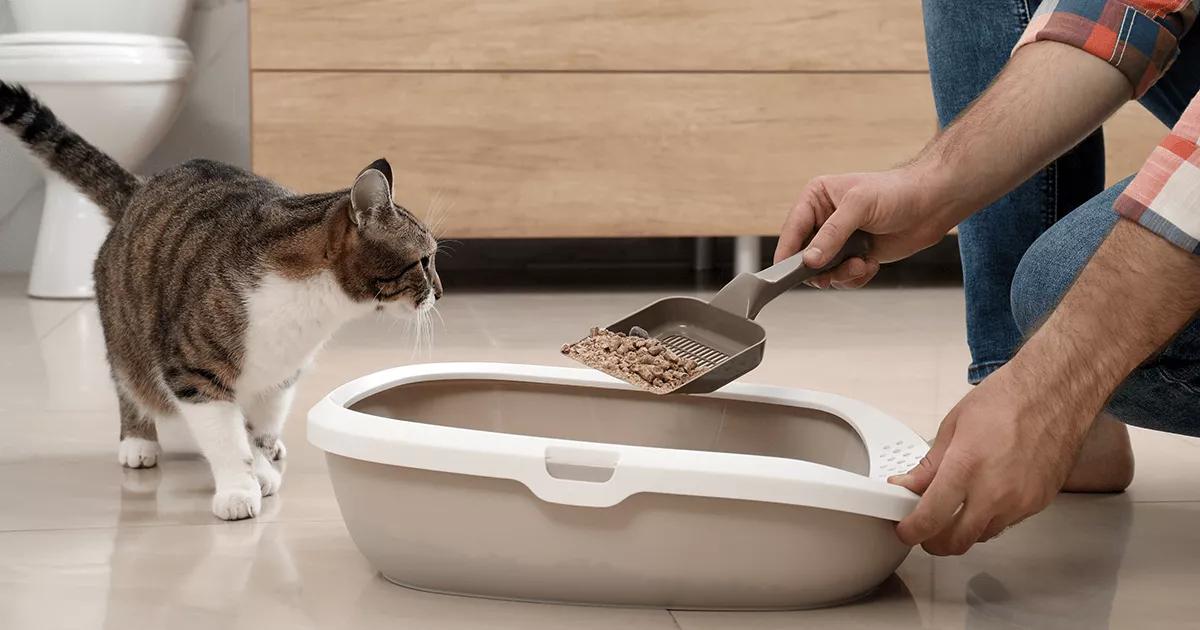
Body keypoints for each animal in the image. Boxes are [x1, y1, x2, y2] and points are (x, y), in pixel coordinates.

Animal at [1, 79, 441, 520]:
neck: (312, 307)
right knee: (128, 384)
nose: (439, 291)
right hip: (126, 333)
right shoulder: (194, 370)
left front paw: (262, 469)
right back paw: (138, 441)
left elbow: (258, 431)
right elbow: (228, 440)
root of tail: (138, 191)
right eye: (423, 260)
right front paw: (238, 490)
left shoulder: (279, 378)